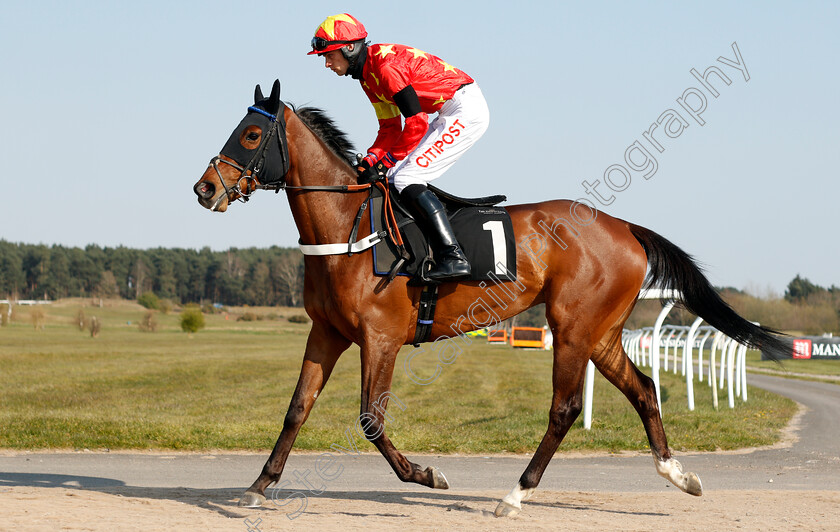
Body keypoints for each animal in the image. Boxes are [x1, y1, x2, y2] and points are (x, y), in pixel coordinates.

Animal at [194, 81, 784, 516]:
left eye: (251, 134)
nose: (204, 189)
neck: (347, 228)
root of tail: (625, 228)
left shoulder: (380, 338)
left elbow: (370, 420)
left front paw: (427, 475)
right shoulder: (327, 333)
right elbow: (297, 408)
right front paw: (259, 484)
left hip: (572, 327)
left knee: (566, 407)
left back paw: (516, 493)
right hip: (601, 332)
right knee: (644, 388)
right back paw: (677, 473)